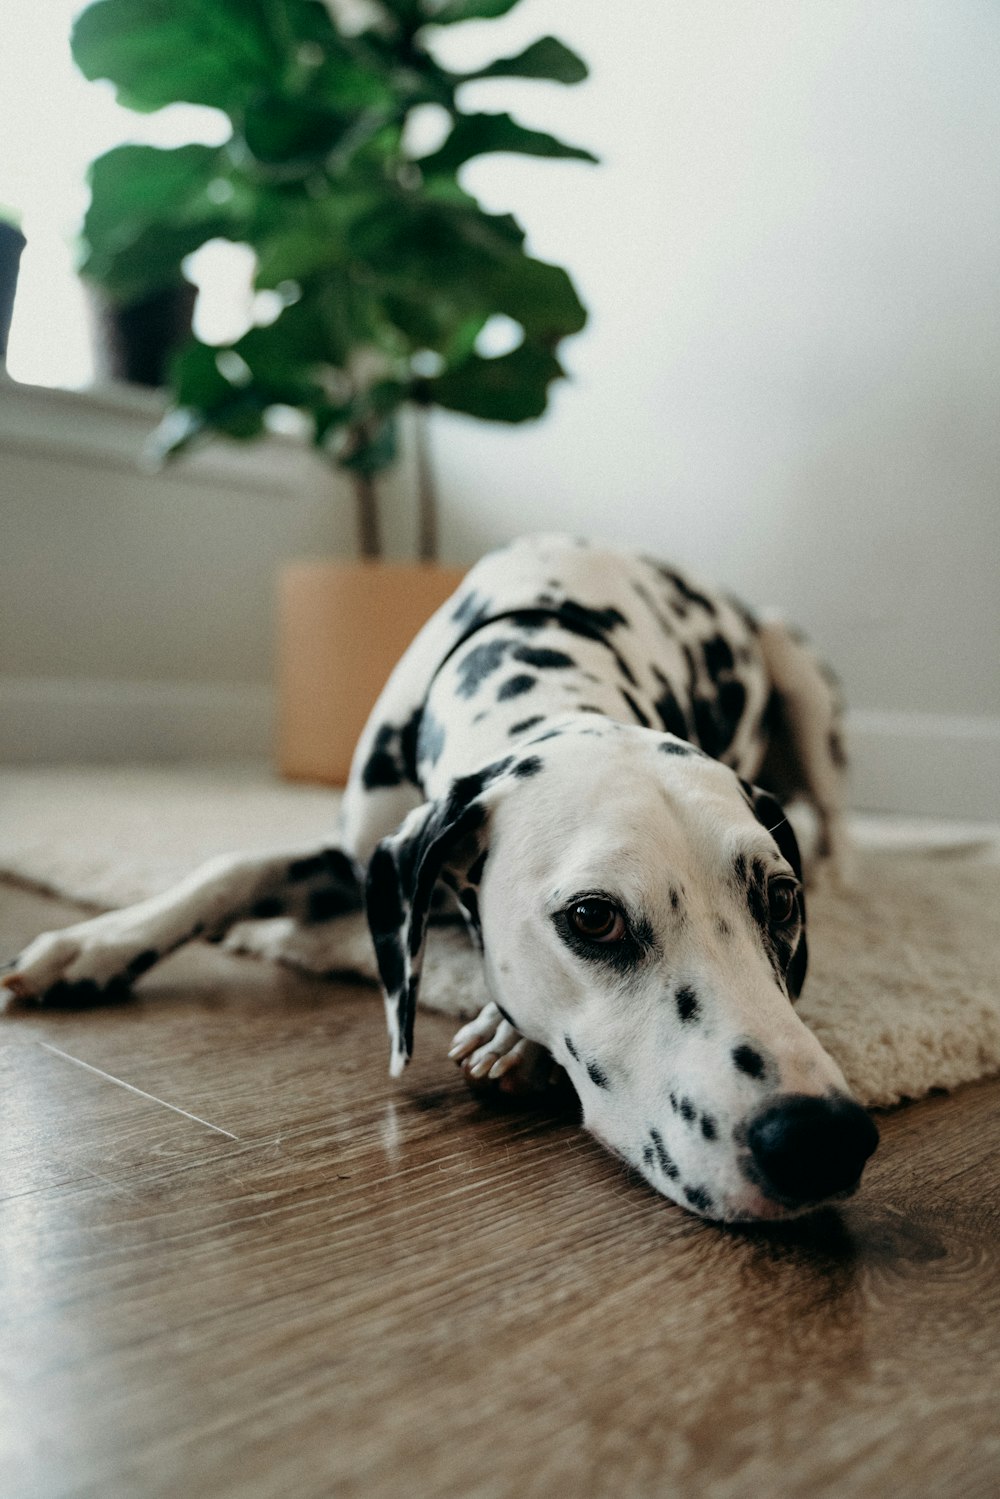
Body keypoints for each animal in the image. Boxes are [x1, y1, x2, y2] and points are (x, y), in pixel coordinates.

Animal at [0, 536, 875, 1217]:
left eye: (780, 899)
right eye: (594, 917)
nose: (822, 1137)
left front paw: (507, 1034)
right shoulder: (362, 857)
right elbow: (226, 869)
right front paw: (94, 943)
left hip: (796, 671)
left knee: (840, 820)